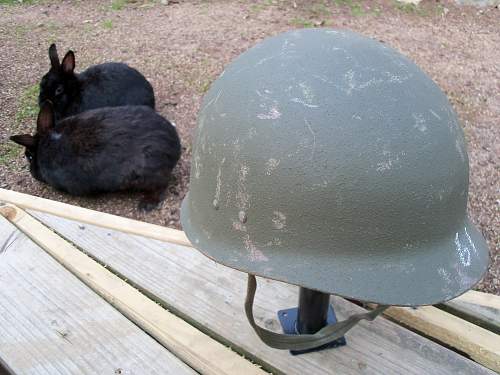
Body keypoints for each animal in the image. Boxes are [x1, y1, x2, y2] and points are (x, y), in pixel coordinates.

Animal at [10, 102, 180, 212]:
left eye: (29, 157)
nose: (32, 173)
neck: (47, 142)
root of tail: (174, 145)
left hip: (146, 175)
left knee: (161, 186)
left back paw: (146, 205)